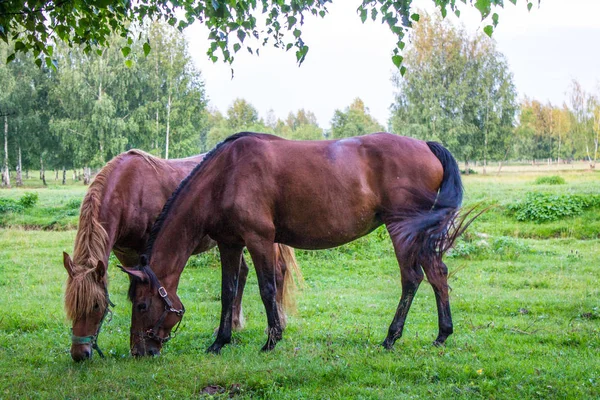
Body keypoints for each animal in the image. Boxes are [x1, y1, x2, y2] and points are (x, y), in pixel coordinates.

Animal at [63, 148, 300, 360]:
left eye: (96, 306)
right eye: (70, 307)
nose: (80, 354)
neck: (128, 189)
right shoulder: (125, 254)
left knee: (278, 272)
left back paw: (277, 324)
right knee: (242, 273)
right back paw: (233, 325)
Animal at [122, 133, 472, 354]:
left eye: (141, 305)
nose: (139, 351)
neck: (225, 175)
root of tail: (426, 146)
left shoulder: (259, 239)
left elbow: (267, 289)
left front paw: (271, 340)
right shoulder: (230, 243)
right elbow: (228, 292)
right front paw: (219, 342)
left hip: (403, 229)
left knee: (411, 278)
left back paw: (390, 338)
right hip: (419, 233)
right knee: (437, 274)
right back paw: (442, 335)